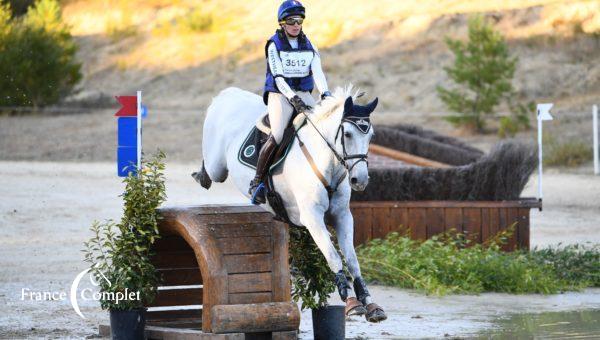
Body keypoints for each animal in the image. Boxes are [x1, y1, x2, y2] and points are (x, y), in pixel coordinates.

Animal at [195, 85, 386, 322]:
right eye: (348, 134)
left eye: (370, 136)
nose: (360, 180)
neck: (327, 163)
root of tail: (227, 93)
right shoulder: (312, 217)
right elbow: (333, 256)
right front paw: (350, 301)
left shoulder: (342, 216)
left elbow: (352, 260)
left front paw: (369, 303)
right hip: (217, 166)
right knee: (210, 170)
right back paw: (202, 176)